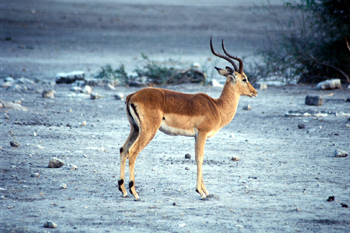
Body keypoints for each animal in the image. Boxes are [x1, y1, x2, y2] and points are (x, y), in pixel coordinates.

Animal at [117, 36, 258, 200]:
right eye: (244, 78)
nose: (255, 92)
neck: (217, 107)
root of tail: (132, 96)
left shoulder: (196, 136)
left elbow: (199, 158)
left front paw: (206, 191)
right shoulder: (202, 133)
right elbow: (200, 159)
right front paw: (201, 192)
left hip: (135, 128)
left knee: (123, 150)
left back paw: (123, 190)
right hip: (148, 130)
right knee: (132, 152)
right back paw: (134, 192)